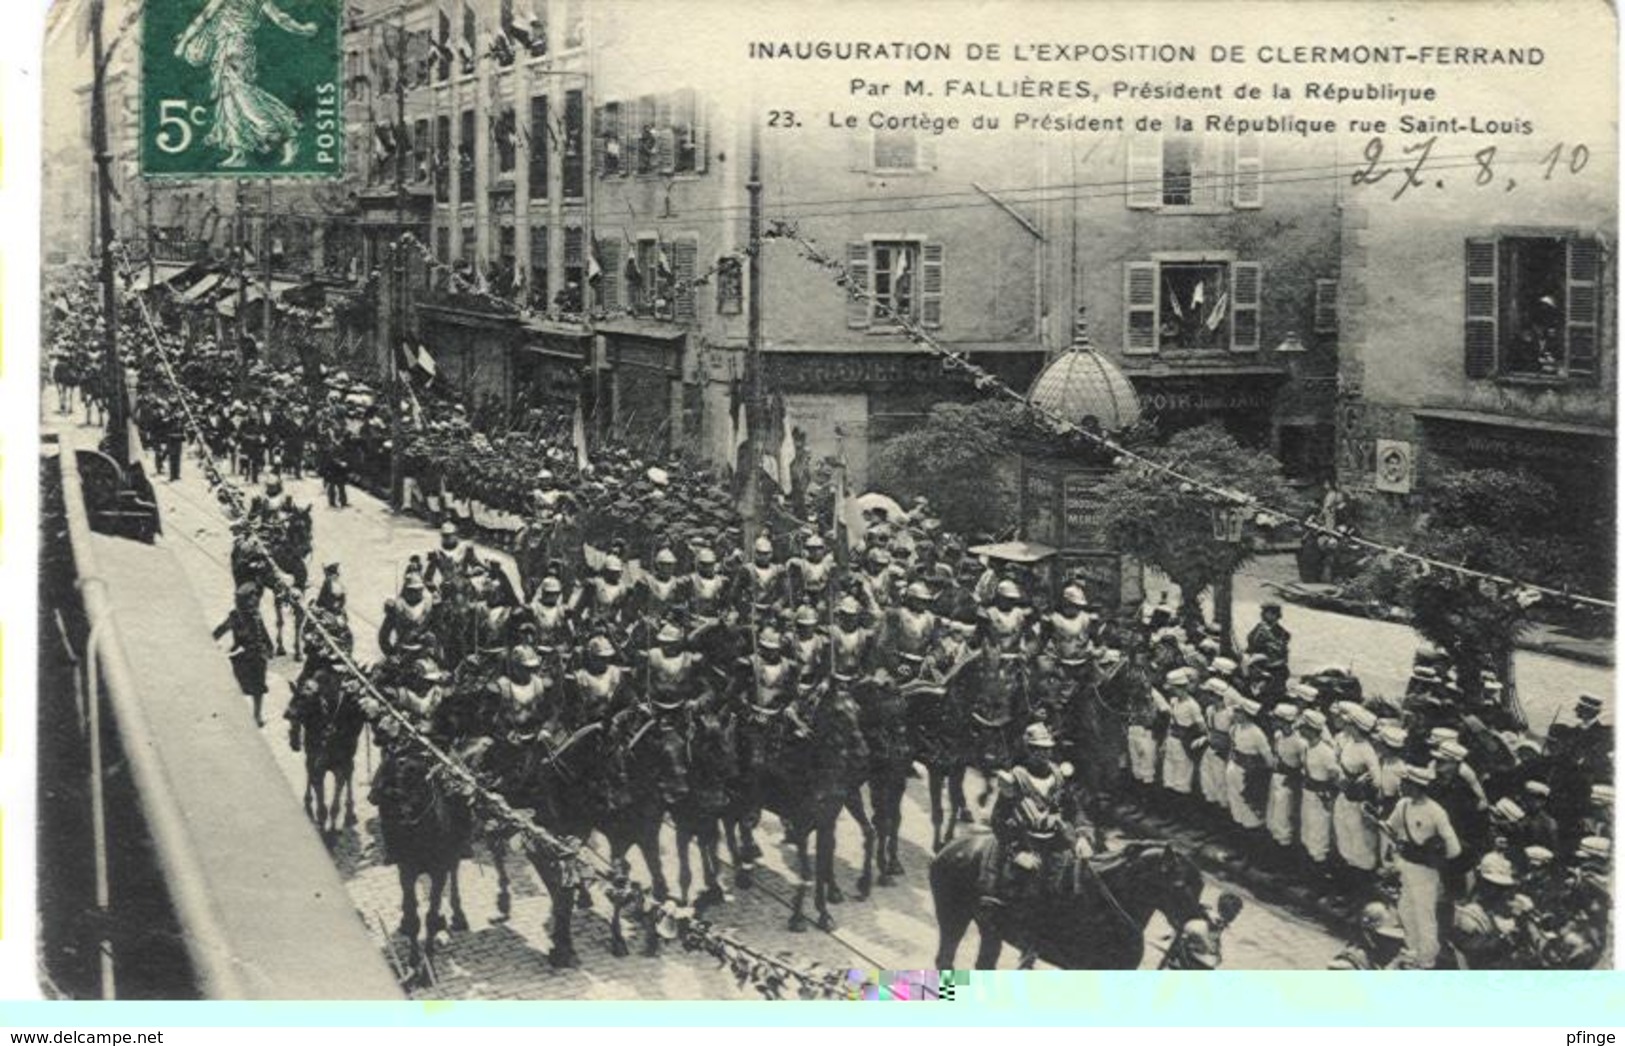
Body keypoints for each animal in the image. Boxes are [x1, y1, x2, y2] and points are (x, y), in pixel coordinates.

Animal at [368, 743, 471, 987]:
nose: (403, 824)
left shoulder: (438, 871)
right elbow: (414, 915)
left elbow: (431, 916)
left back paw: (457, 914)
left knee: (454, 870)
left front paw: (427, 968)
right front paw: (413, 962)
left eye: (421, 789)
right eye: (391, 793)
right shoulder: (407, 870)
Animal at [936, 831, 1222, 974]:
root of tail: (952, 846)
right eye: (1180, 885)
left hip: (989, 930)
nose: (1200, 925)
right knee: (945, 961)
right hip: (953, 918)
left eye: (1201, 886)